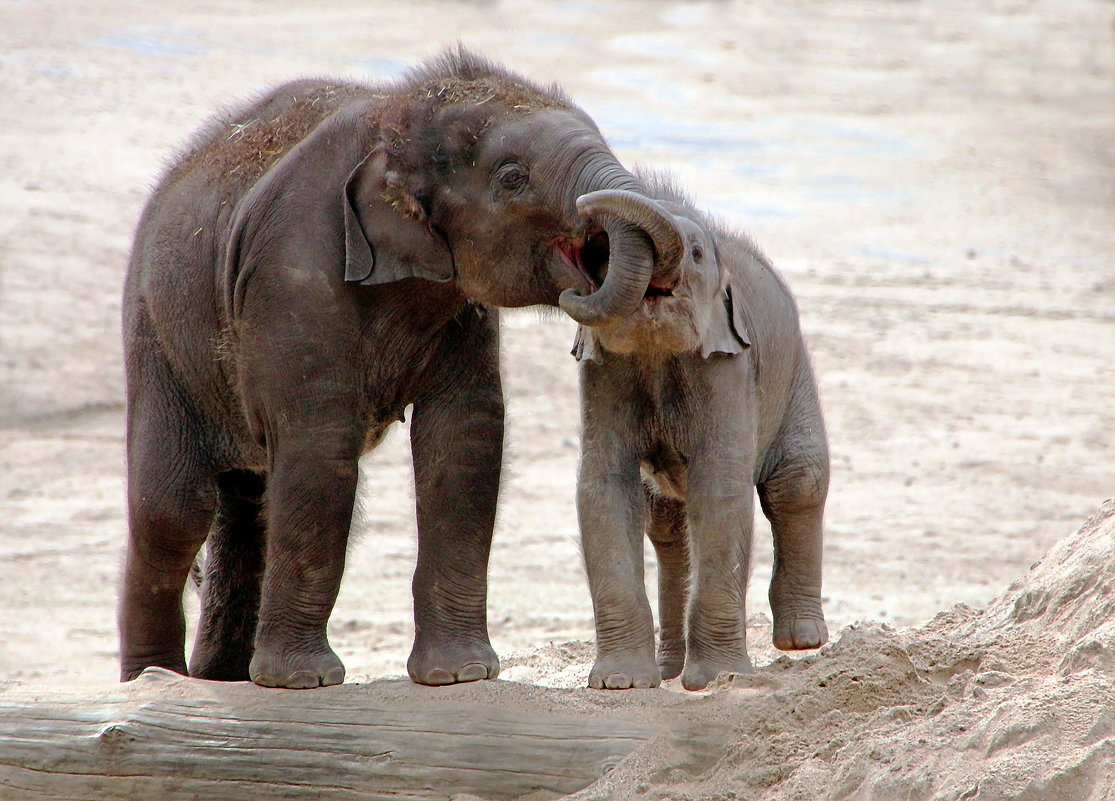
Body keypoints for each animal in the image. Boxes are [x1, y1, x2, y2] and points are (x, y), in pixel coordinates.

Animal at [120, 48, 664, 691]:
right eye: (512, 177)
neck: (399, 118)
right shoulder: (295, 271)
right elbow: (319, 445)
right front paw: (304, 683)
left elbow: (466, 436)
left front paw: (459, 675)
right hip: (157, 338)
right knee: (173, 506)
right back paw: (154, 680)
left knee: (247, 501)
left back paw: (221, 679)